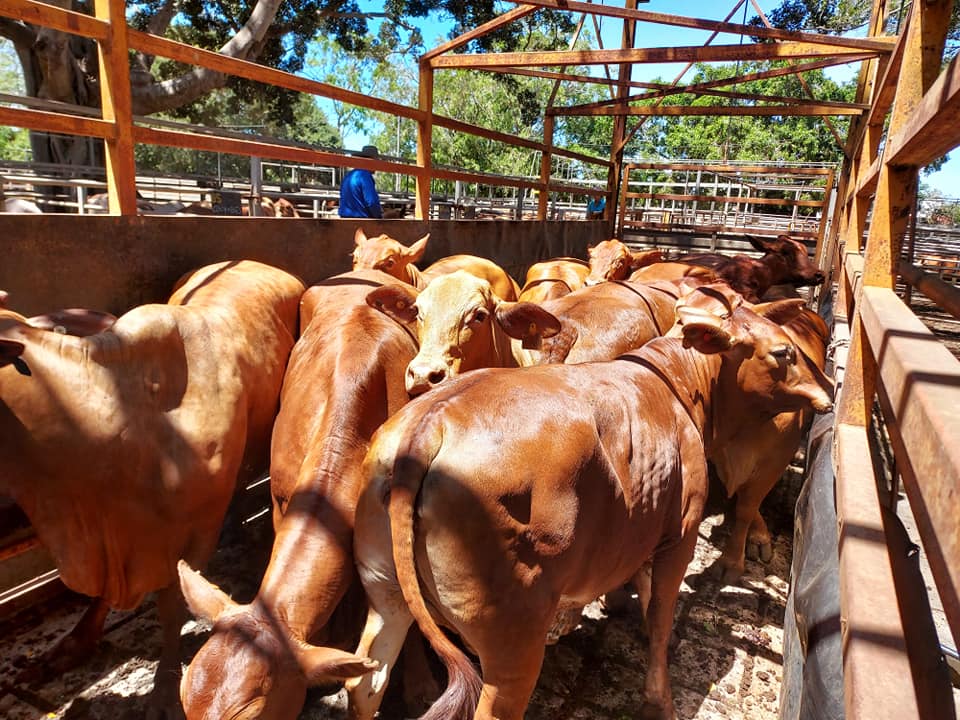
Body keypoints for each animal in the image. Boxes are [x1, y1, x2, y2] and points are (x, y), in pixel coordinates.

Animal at [345, 283, 834, 720]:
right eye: (784, 352)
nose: (828, 386)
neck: (676, 384)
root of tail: (431, 422)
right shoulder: (681, 534)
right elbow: (661, 616)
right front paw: (660, 700)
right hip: (512, 643)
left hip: (385, 593)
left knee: (366, 682)